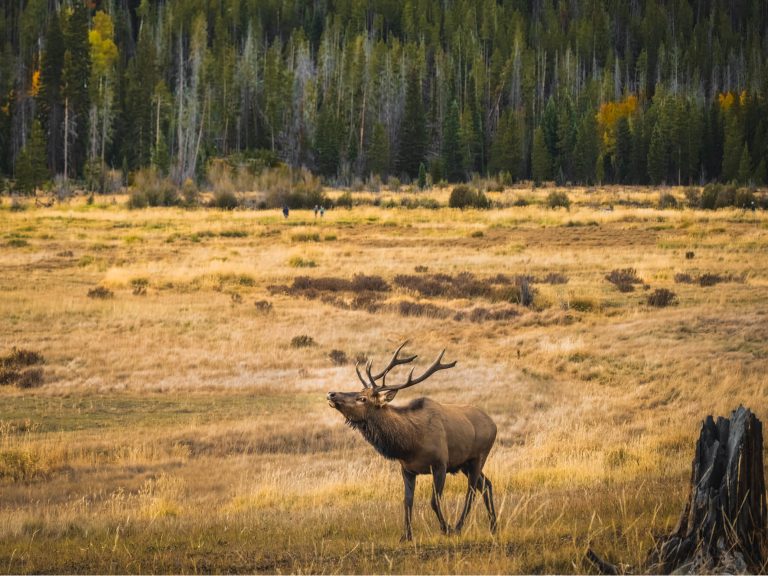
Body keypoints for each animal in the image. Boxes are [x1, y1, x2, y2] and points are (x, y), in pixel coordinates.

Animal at [326, 342, 498, 540]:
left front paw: (445, 528)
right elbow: (407, 501)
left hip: (479, 456)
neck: (410, 445)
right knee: (486, 485)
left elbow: (434, 501)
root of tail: (494, 424)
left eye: (362, 398)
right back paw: (494, 526)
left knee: (471, 492)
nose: (331, 393)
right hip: (464, 463)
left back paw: (458, 527)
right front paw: (406, 536)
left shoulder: (440, 464)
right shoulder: (407, 469)